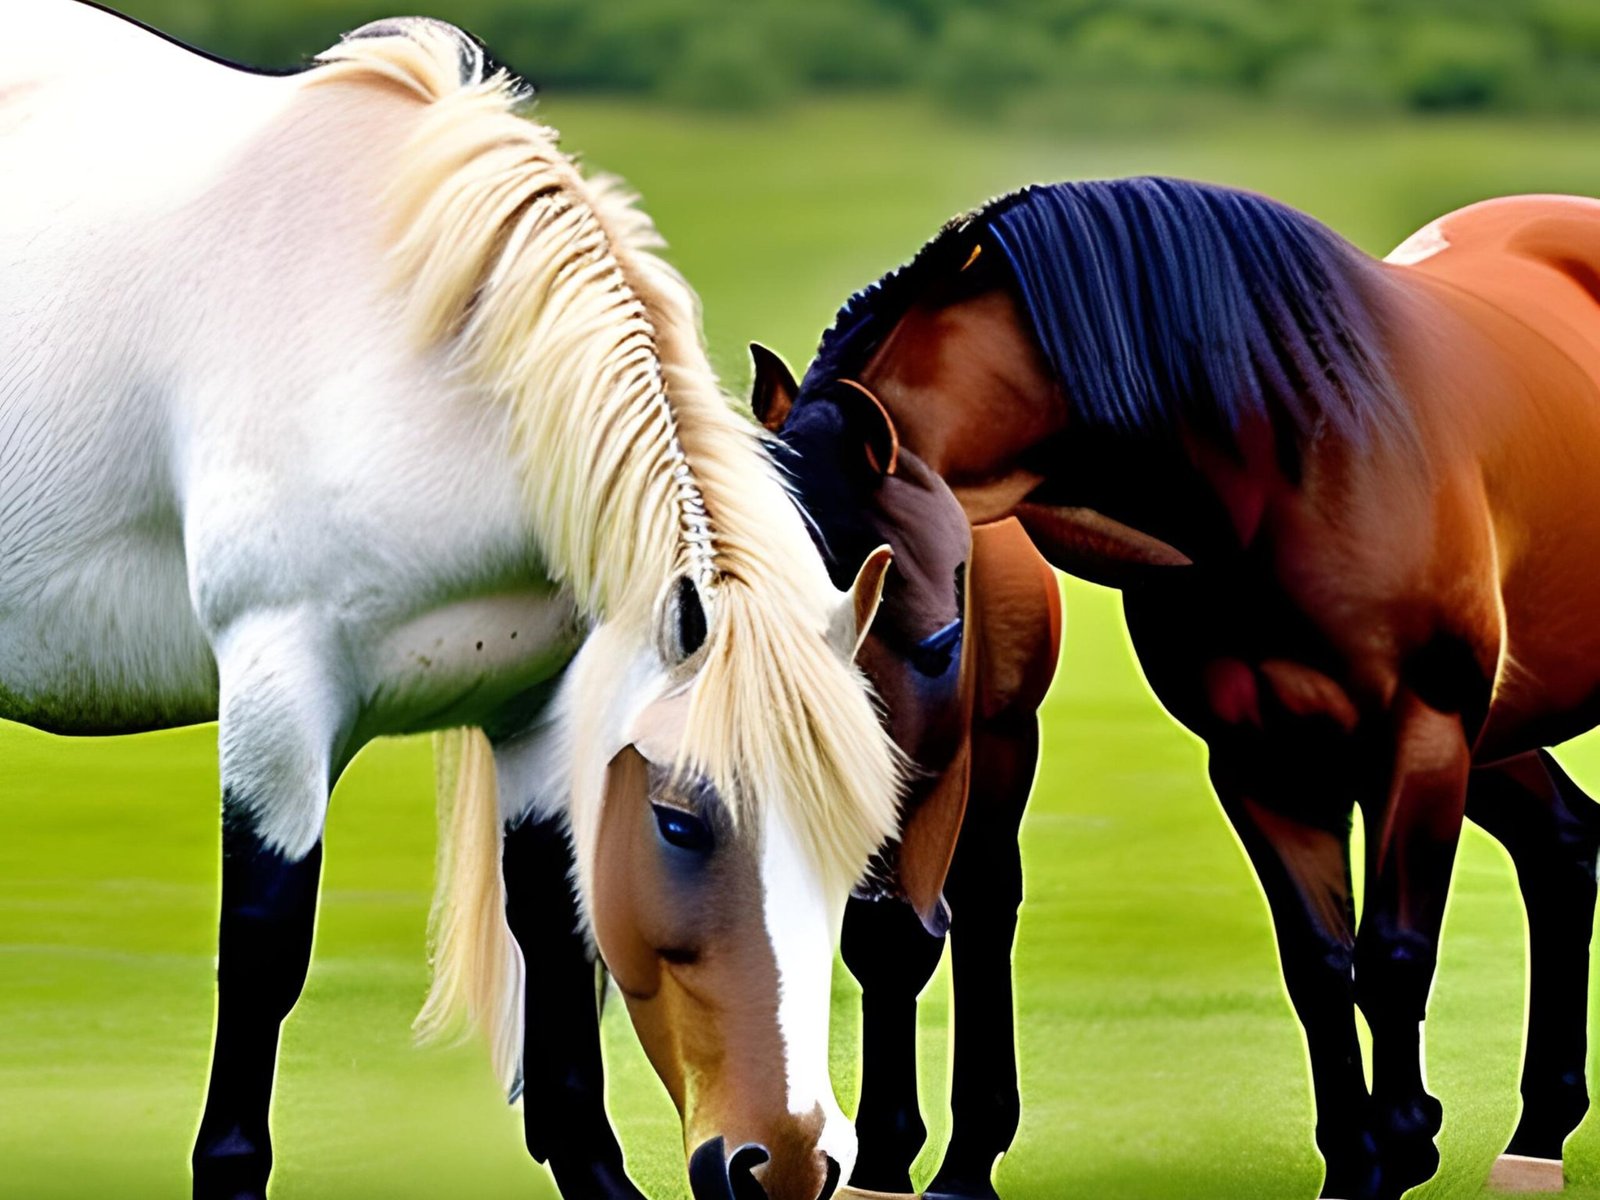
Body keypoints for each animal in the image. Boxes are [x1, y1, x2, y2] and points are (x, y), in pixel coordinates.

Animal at [0, 6, 903, 1200]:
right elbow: (265, 946)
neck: (414, 371)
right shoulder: (277, 694)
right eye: (680, 822)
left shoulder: (537, 710)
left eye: (861, 841)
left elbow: (553, 925)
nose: (791, 1160)